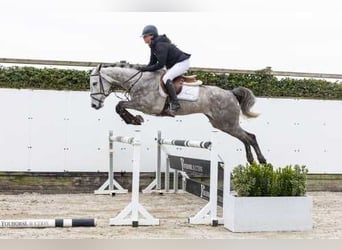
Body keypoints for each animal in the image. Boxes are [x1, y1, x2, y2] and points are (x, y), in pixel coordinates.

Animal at [89, 62, 266, 164]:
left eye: (95, 83)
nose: (94, 105)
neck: (138, 81)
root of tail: (230, 93)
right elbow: (119, 106)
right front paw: (134, 119)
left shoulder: (146, 106)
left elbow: (120, 105)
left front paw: (134, 120)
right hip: (222, 124)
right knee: (246, 137)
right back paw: (251, 160)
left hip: (227, 123)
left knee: (250, 137)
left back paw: (261, 160)